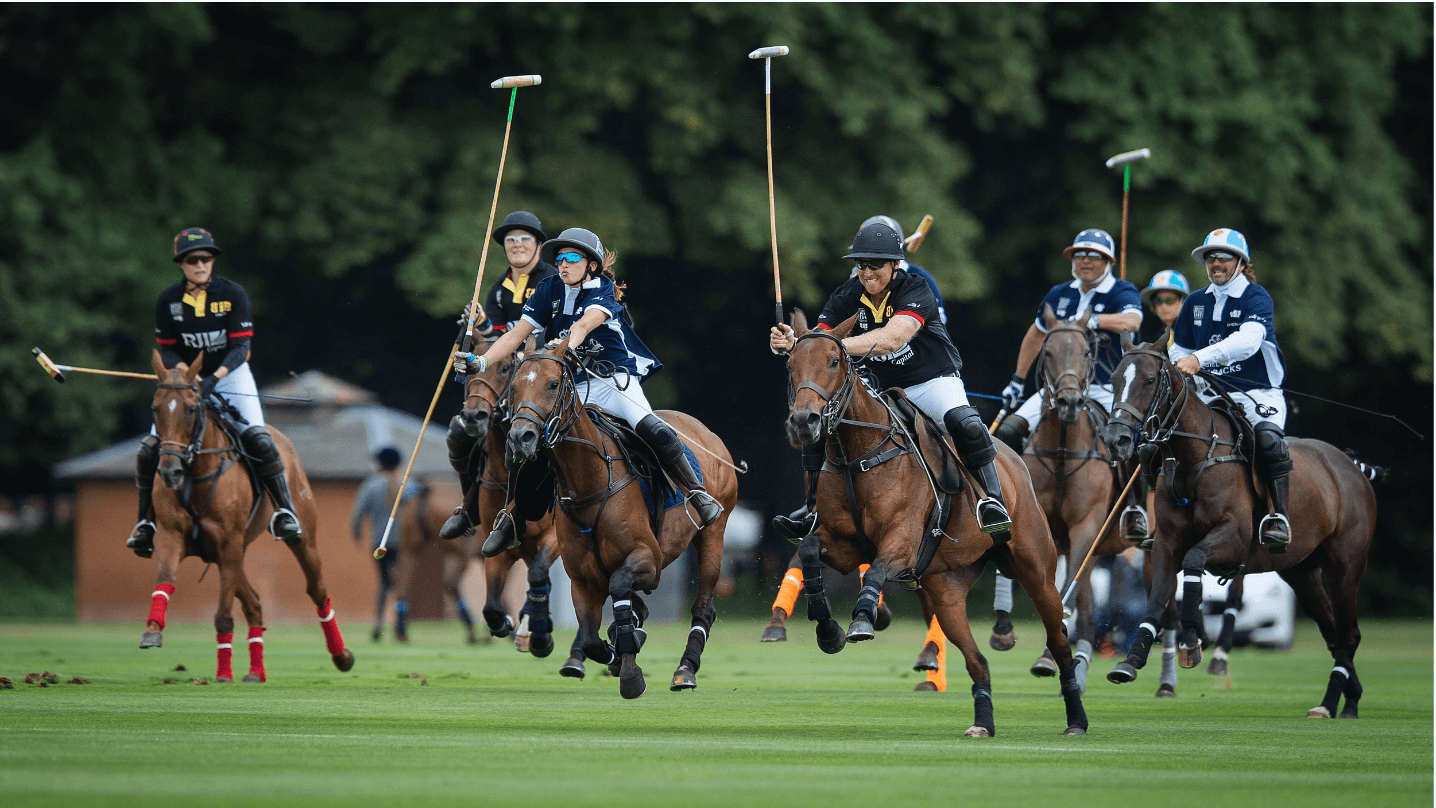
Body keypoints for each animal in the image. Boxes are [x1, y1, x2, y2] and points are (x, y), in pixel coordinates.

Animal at [140, 354, 353, 683]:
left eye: (191, 408)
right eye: (155, 408)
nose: (169, 472)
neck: (197, 474)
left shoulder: (229, 542)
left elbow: (223, 616)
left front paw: (224, 673)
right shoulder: (172, 536)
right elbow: (165, 579)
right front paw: (152, 632)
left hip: (300, 537)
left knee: (316, 590)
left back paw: (341, 655)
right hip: (228, 552)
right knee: (254, 602)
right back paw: (256, 671)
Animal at [448, 341, 583, 677]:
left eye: (506, 368)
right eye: (472, 372)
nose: (474, 416)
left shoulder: (553, 539)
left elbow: (538, 575)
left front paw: (540, 637)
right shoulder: (497, 544)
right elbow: (492, 607)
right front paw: (511, 624)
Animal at [505, 338, 735, 697]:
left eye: (553, 384)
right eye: (514, 386)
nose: (520, 437)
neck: (591, 483)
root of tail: (707, 432)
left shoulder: (648, 558)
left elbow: (621, 585)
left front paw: (630, 669)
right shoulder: (582, 579)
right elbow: (591, 638)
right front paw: (621, 653)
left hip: (713, 535)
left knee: (704, 607)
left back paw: (685, 671)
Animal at [786, 311, 1085, 740]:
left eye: (833, 361)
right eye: (790, 366)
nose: (803, 422)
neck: (857, 455)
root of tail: (1014, 460)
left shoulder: (902, 542)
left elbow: (875, 569)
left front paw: (862, 620)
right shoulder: (844, 547)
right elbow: (809, 549)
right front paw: (828, 630)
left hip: (1037, 571)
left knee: (1059, 643)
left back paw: (1077, 720)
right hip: (947, 589)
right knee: (977, 660)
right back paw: (982, 723)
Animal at [1097, 337, 1378, 720]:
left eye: (1151, 380)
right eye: (1113, 378)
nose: (1117, 439)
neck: (1194, 456)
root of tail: (1353, 467)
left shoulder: (1234, 536)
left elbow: (1194, 559)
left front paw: (1192, 641)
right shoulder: (1165, 544)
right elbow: (1157, 599)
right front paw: (1131, 661)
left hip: (1346, 565)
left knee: (1349, 634)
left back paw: (1330, 703)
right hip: (1301, 572)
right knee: (1334, 632)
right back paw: (1347, 700)